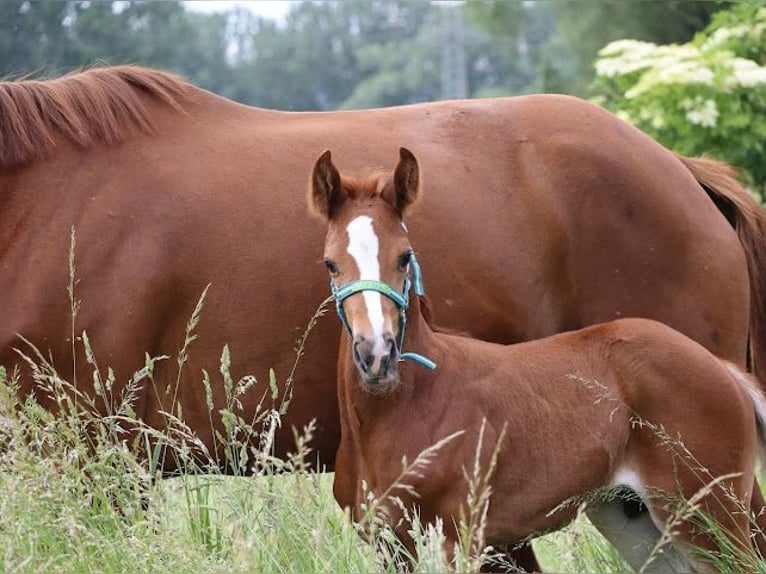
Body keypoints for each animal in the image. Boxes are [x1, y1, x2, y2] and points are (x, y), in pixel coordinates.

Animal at [311, 147, 766, 573]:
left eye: (404, 257)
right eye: (331, 263)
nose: (377, 354)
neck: (403, 409)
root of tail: (723, 370)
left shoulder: (458, 536)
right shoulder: (388, 541)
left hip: (710, 513)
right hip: (635, 520)